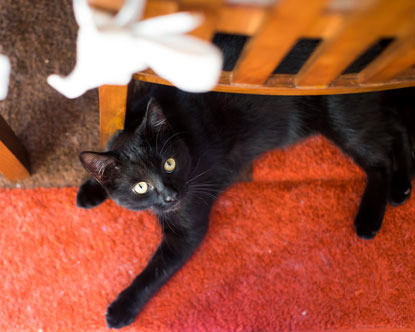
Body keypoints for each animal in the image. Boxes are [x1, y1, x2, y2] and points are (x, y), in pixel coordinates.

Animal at [76, 82, 414, 326]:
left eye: (169, 164)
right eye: (141, 186)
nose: (170, 195)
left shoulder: (188, 226)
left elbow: (154, 272)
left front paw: (121, 309)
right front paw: (91, 191)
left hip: (342, 116)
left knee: (380, 158)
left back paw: (370, 217)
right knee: (397, 127)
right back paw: (401, 188)